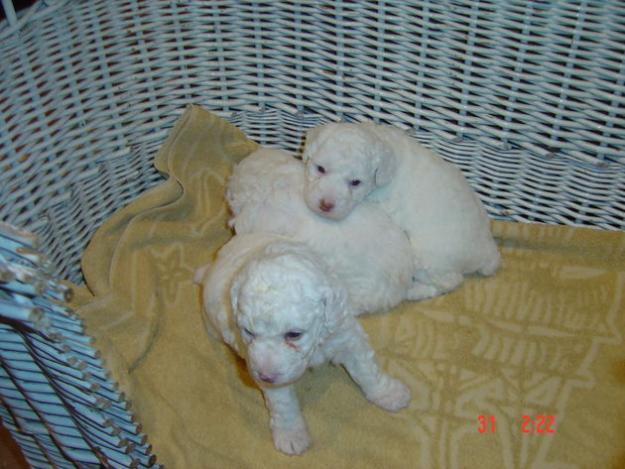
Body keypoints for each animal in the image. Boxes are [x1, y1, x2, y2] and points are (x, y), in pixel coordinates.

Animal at [195, 232, 410, 456]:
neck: (314, 347)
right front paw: (291, 435)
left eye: (294, 334)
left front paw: (388, 393)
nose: (265, 376)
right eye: (248, 332)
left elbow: (366, 369)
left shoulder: (344, 333)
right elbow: (283, 403)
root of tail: (213, 266)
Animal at [300, 121, 500, 296]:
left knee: (449, 281)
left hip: (430, 258)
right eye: (320, 168)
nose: (326, 205)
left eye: (356, 182)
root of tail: (488, 250)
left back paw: (413, 291)